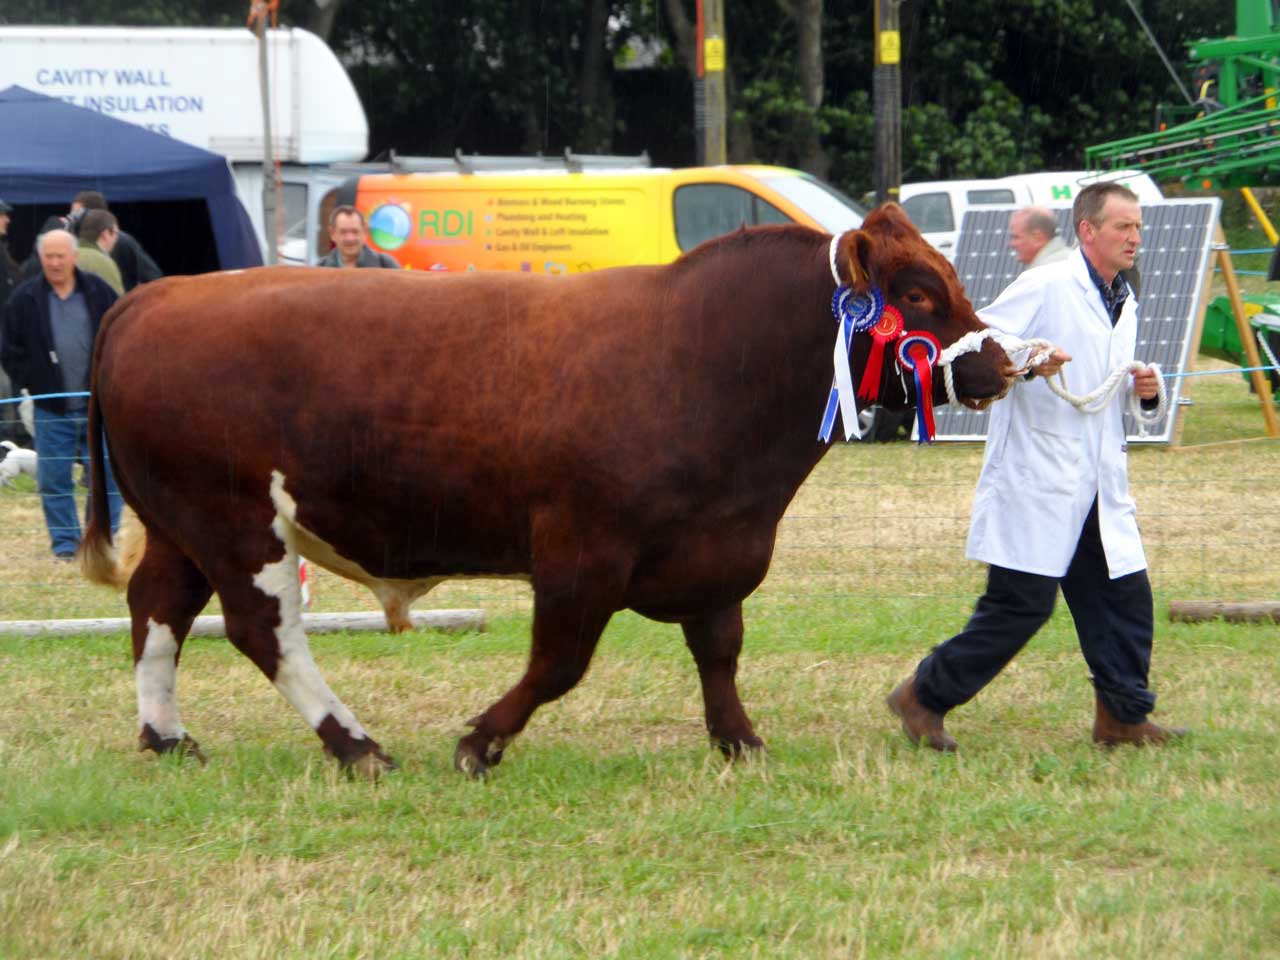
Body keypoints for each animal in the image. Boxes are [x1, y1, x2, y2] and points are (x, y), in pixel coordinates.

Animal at [82, 207, 1008, 778]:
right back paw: (356, 746)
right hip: (240, 525)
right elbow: (559, 661)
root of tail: (156, 295)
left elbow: (719, 648)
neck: (698, 355)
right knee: (263, 630)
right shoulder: (580, 552)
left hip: (183, 528)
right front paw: (480, 743)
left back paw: (168, 737)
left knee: (155, 609)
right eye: (917, 294)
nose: (1001, 362)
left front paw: (740, 740)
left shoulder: (716, 548)